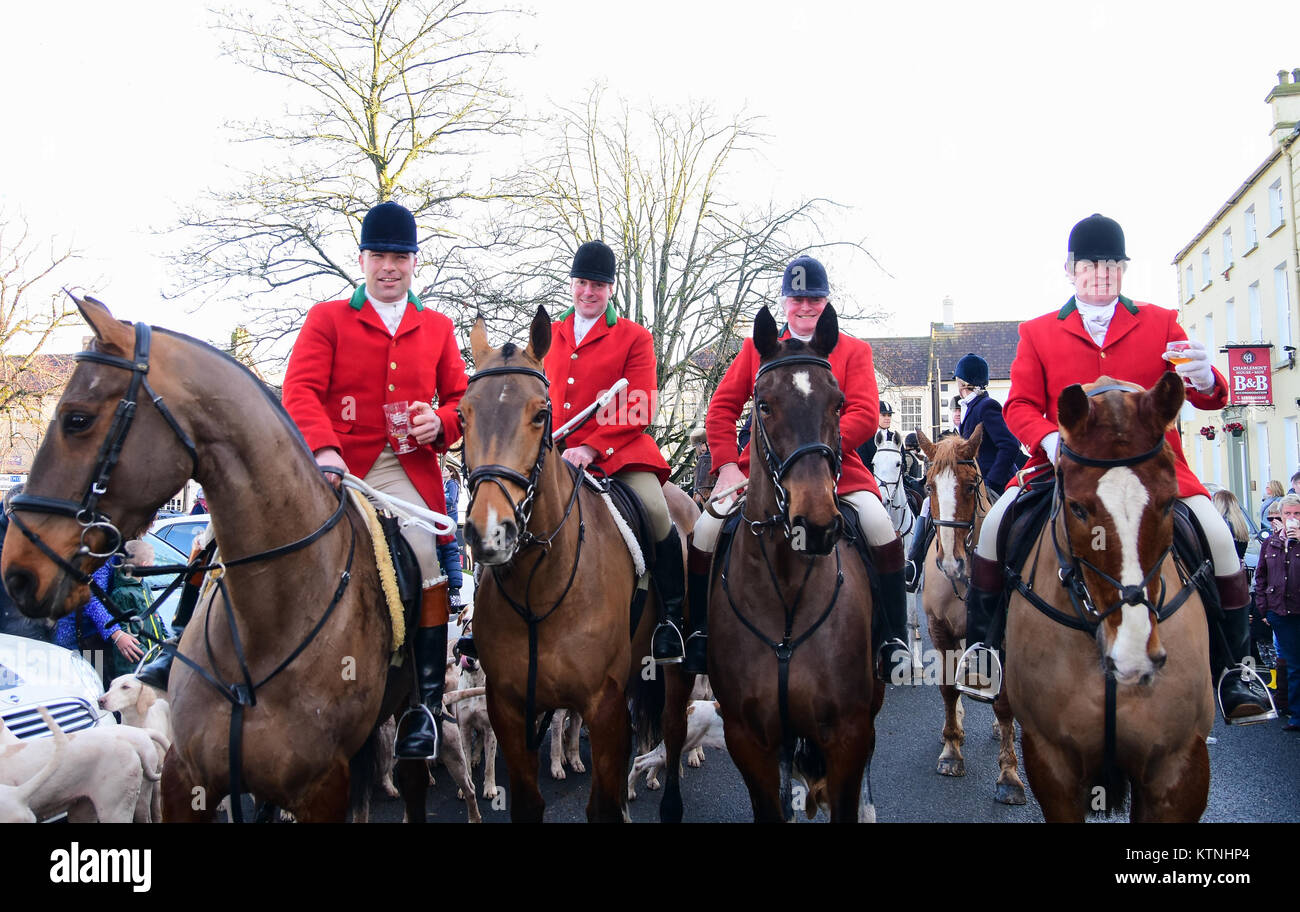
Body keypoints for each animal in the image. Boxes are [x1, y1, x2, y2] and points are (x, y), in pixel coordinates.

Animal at [460, 310, 696, 826]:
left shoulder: (602, 705)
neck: (538, 587)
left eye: (540, 413)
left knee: (672, 734)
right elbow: (529, 802)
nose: (490, 532)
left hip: (677, 671)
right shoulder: (509, 709)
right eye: (463, 413)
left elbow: (599, 805)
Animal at [712, 309, 883, 831]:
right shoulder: (747, 737)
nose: (817, 524)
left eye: (839, 403)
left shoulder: (848, 732)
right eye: (763, 405)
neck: (786, 588)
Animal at [915, 428, 1024, 805]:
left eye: (970, 484)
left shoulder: (1002, 635)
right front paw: (951, 749)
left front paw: (1009, 774)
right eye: (929, 486)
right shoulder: (939, 628)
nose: (950, 563)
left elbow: (1004, 702)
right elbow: (949, 688)